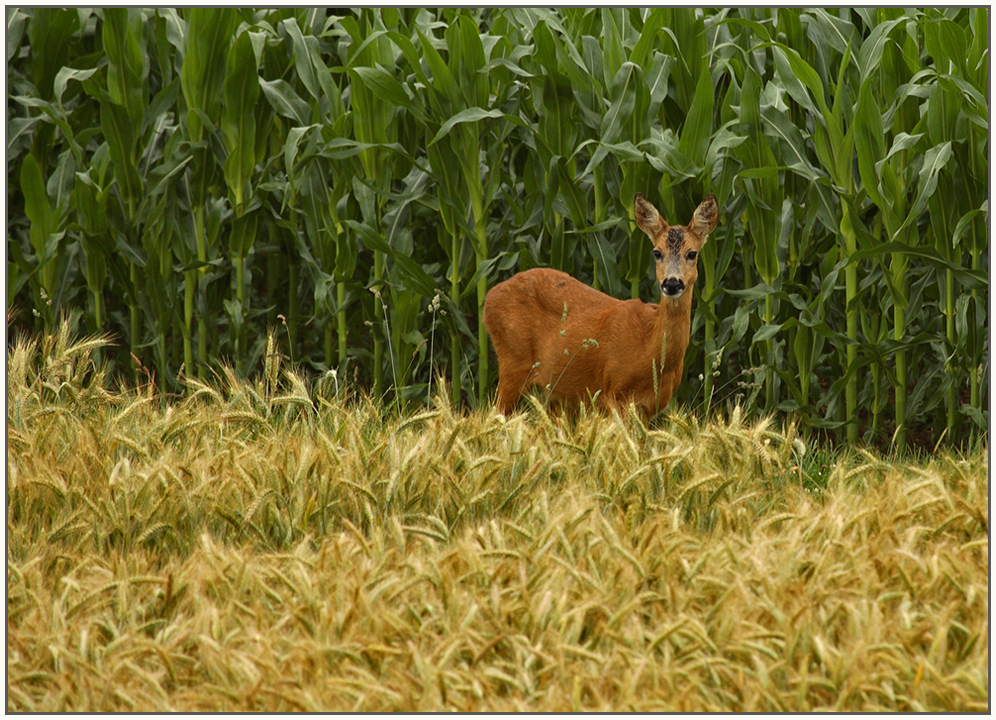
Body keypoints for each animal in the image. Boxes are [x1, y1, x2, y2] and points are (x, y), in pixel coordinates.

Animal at [482, 191, 716, 420]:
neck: (649, 348)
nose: (672, 283)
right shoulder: (616, 393)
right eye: (657, 252)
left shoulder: (650, 408)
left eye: (692, 253)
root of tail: (489, 298)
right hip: (513, 361)